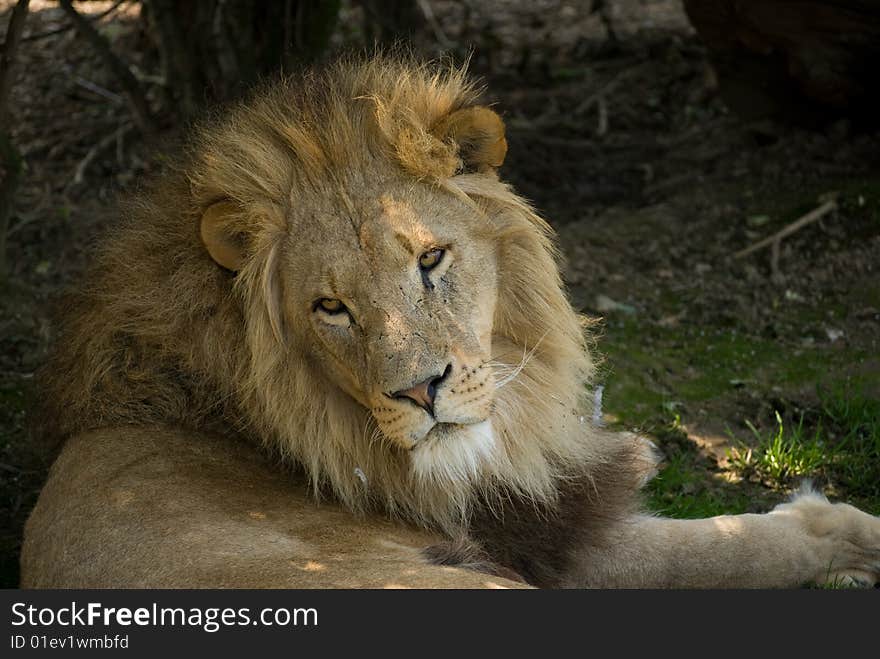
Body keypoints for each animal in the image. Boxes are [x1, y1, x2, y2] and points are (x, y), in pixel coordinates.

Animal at [22, 54, 880, 584]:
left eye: (430, 259)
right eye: (330, 307)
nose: (419, 392)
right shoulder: (564, 552)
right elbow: (736, 546)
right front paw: (853, 533)